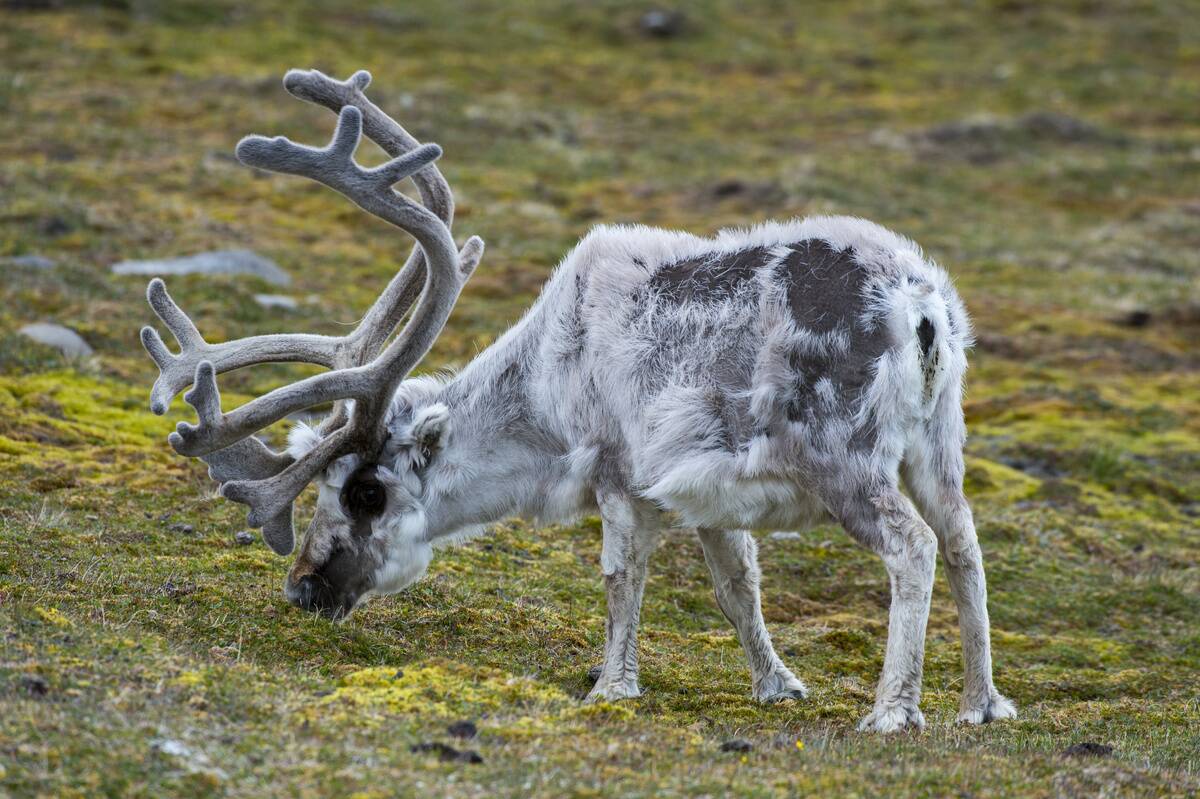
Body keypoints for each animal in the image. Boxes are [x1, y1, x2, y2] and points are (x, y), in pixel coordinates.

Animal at [139, 68, 1016, 733]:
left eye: (365, 492)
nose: (303, 587)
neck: (545, 390)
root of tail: (922, 305)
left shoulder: (620, 472)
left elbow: (621, 578)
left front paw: (610, 686)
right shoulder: (708, 495)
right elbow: (738, 588)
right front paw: (776, 684)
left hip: (846, 457)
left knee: (914, 547)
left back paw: (893, 710)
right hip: (940, 443)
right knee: (965, 544)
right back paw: (981, 702)